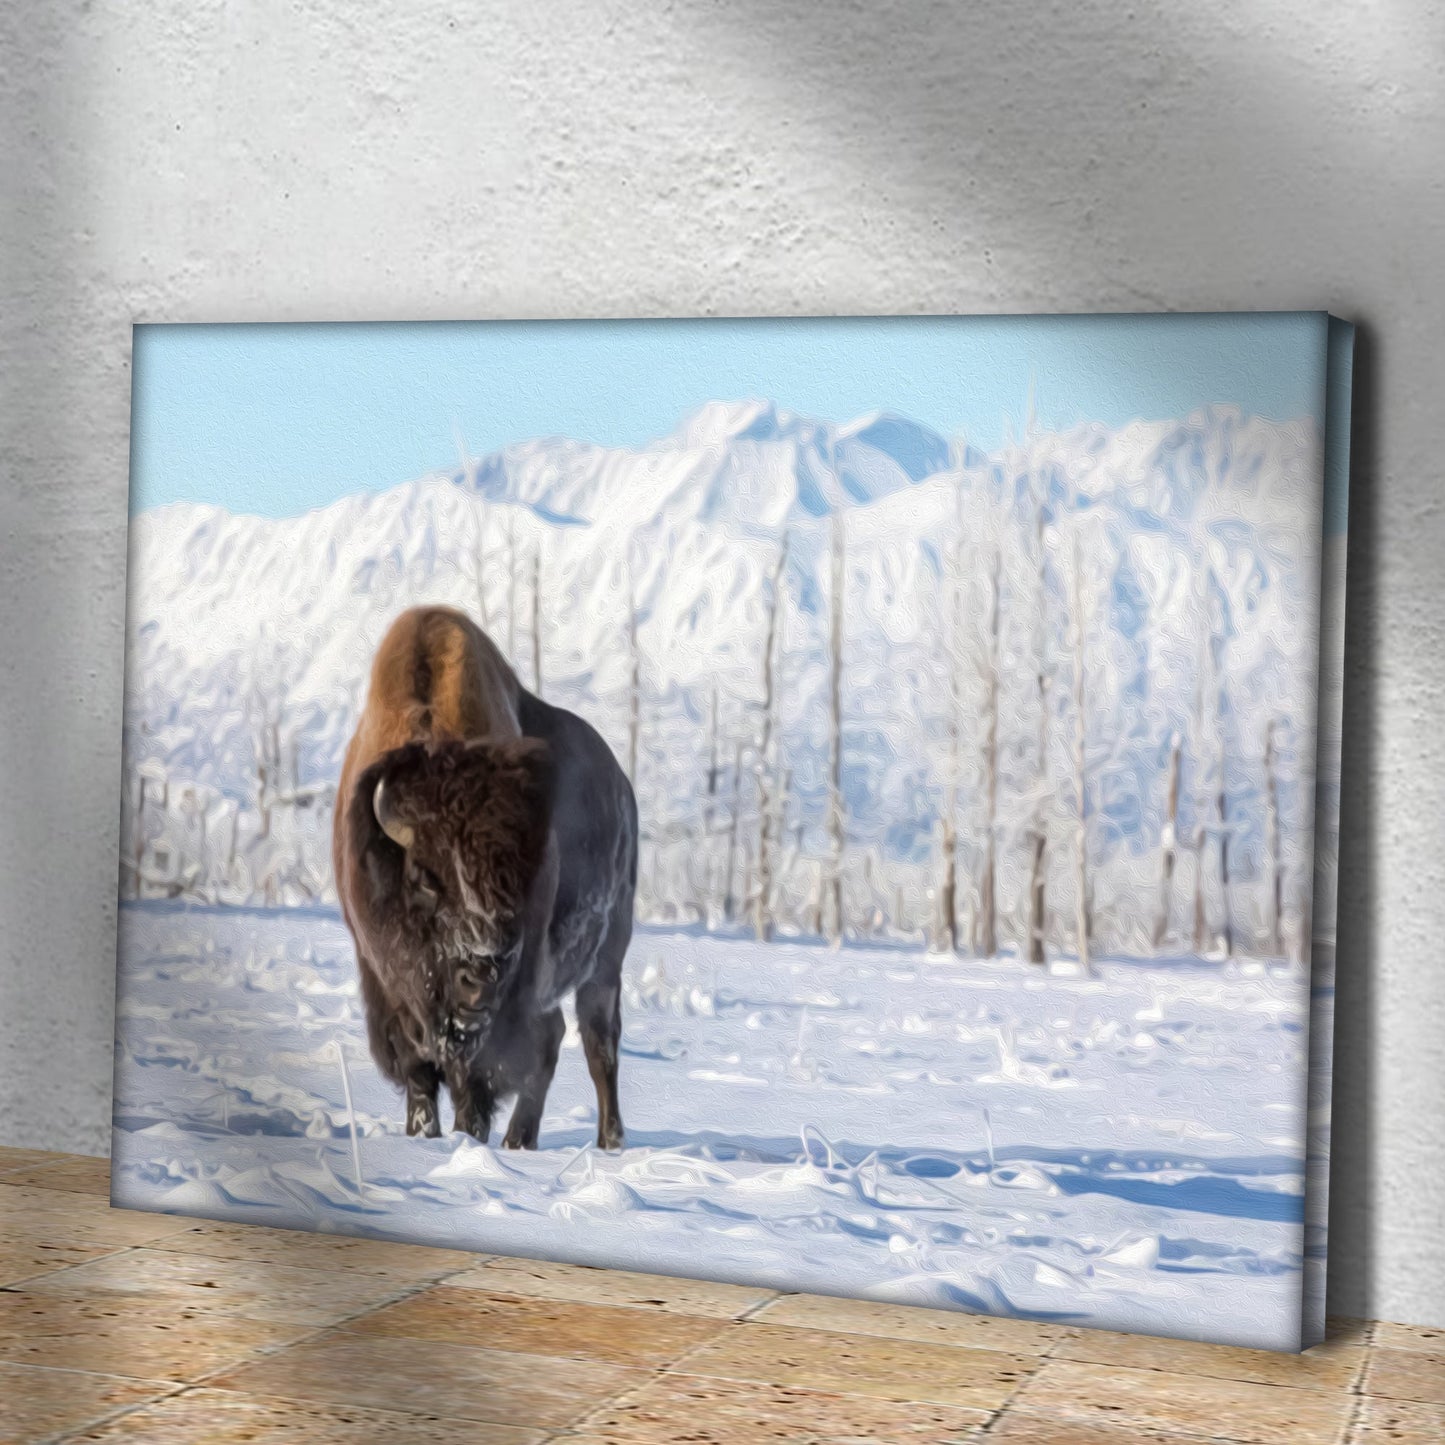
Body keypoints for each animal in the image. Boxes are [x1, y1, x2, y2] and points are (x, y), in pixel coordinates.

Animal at [333, 605, 636, 1149]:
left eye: (519, 879)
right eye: (425, 878)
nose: (481, 975)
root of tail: (624, 788)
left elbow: (476, 1076)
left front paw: (466, 1136)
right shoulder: (387, 988)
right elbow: (420, 1070)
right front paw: (424, 1135)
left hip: (604, 966)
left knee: (597, 1044)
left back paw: (606, 1141)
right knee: (556, 1036)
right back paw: (521, 1140)